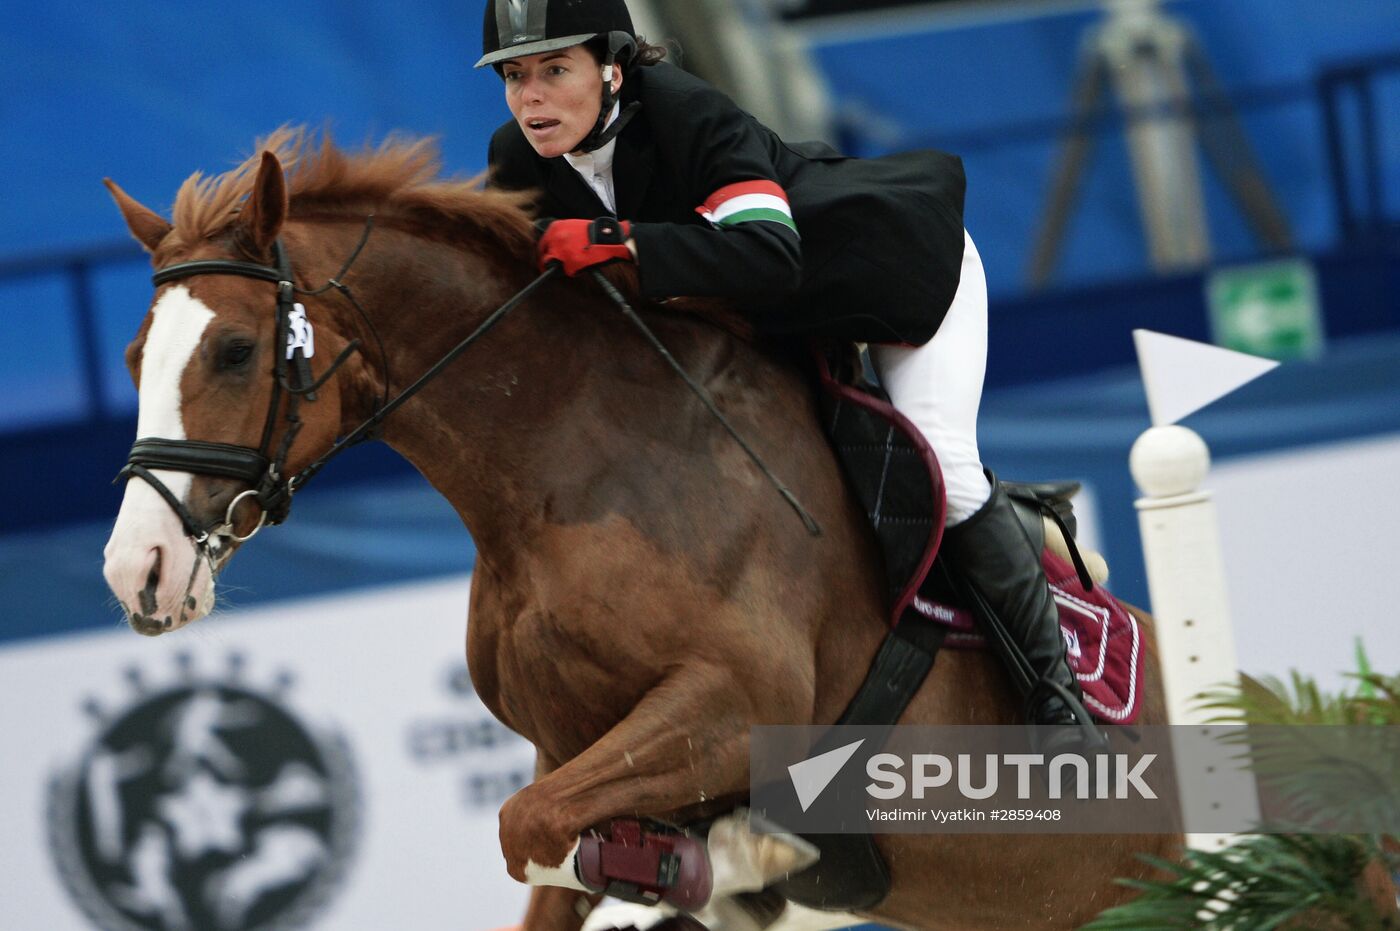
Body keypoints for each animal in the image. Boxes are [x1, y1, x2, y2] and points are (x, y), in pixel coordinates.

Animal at [98, 132, 1176, 929]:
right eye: (135, 354)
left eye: (237, 350)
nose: (135, 569)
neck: (561, 475)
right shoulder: (572, 749)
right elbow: (550, 842)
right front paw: (720, 866)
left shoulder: (734, 703)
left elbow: (529, 826)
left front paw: (735, 855)